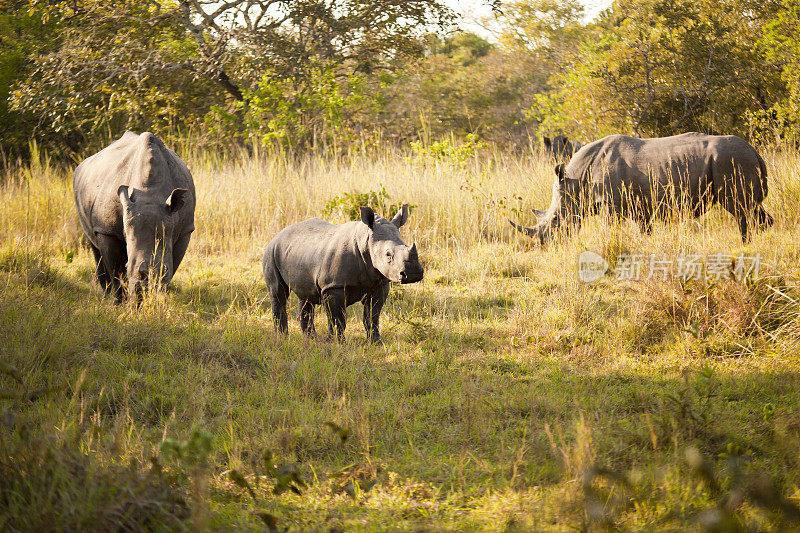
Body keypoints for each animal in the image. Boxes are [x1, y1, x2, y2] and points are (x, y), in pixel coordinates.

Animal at [73, 130, 195, 300]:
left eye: (163, 271)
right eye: (128, 266)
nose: (144, 292)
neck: (150, 193)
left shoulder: (185, 230)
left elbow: (173, 265)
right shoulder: (106, 230)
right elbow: (116, 271)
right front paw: (119, 303)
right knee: (94, 247)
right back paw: (106, 296)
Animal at [264, 202, 424, 342]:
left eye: (406, 245)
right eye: (388, 255)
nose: (413, 273)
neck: (366, 239)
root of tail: (278, 234)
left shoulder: (379, 284)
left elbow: (372, 316)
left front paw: (376, 342)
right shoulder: (333, 286)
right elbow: (337, 319)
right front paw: (337, 343)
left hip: (299, 251)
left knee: (305, 296)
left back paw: (311, 339)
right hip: (272, 250)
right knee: (278, 292)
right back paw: (282, 338)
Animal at [516, 132, 772, 242]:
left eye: (556, 219)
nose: (547, 244)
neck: (577, 179)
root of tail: (756, 153)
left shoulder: (612, 205)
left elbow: (612, 229)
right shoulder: (641, 206)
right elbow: (645, 231)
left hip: (732, 160)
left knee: (740, 209)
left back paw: (745, 245)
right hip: (737, 159)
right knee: (754, 209)